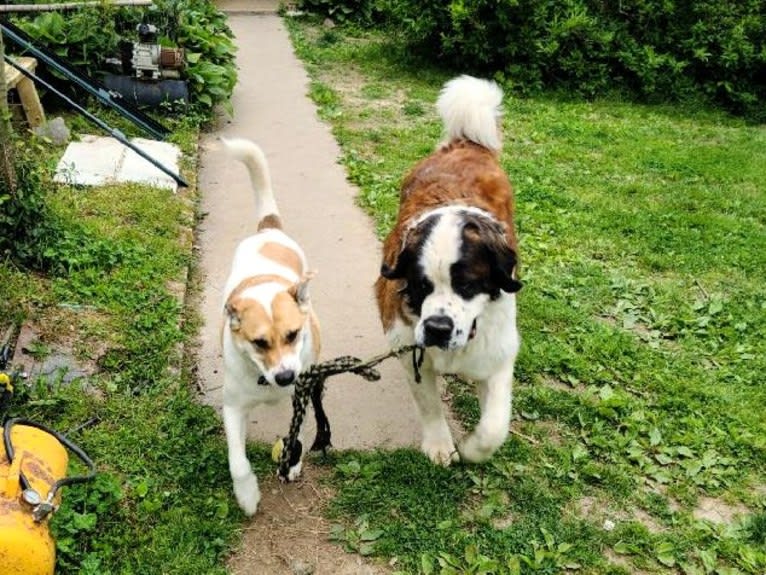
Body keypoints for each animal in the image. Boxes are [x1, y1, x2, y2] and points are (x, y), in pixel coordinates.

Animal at [220, 137, 320, 516]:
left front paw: (292, 462)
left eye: (293, 335)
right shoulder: (232, 407)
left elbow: (299, 432)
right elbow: (237, 462)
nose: (286, 377)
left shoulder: (302, 391)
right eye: (259, 343)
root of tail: (269, 229)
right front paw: (247, 495)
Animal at [376, 74, 520, 466]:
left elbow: (495, 425)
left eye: (467, 286)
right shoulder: (409, 346)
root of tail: (467, 143)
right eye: (422, 286)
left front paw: (472, 447)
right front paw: (440, 444)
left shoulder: (498, 351)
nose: (438, 328)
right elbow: (429, 404)